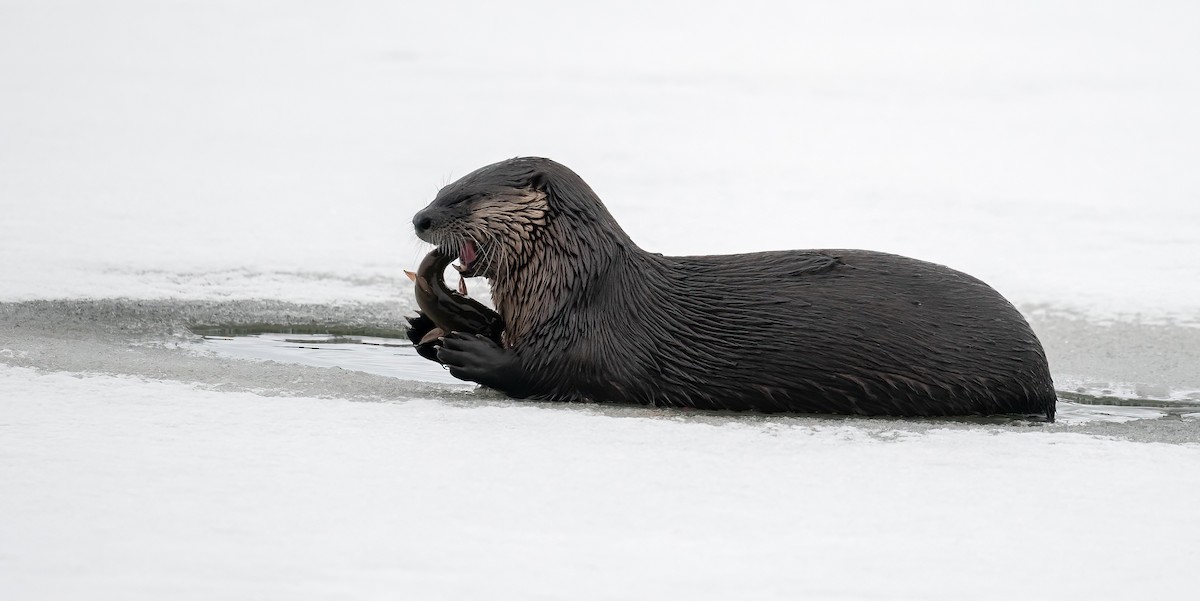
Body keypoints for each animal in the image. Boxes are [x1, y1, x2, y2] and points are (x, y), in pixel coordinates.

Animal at [406, 157, 1056, 419]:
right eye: (440, 187)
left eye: (463, 197)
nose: (419, 218)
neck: (571, 286)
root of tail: (1046, 375)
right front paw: (423, 328)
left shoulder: (596, 334)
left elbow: (555, 371)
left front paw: (472, 351)